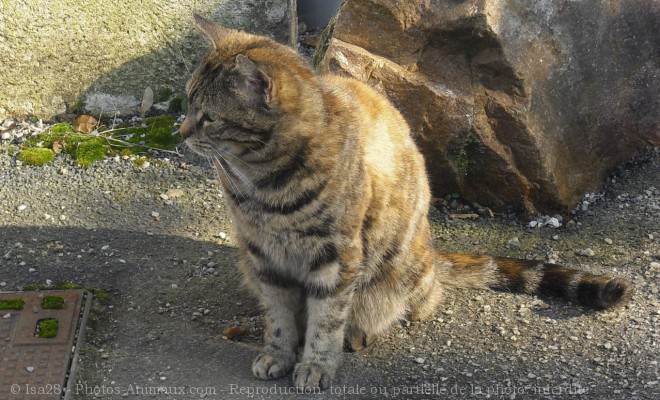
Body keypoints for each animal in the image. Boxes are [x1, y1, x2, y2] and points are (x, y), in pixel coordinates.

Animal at [182, 14, 636, 390]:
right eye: (187, 102)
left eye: (208, 117)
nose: (182, 132)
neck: (266, 185)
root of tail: (432, 253)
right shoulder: (263, 256)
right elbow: (278, 317)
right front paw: (278, 353)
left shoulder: (336, 258)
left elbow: (326, 321)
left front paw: (316, 364)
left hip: (401, 269)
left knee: (421, 300)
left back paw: (366, 330)